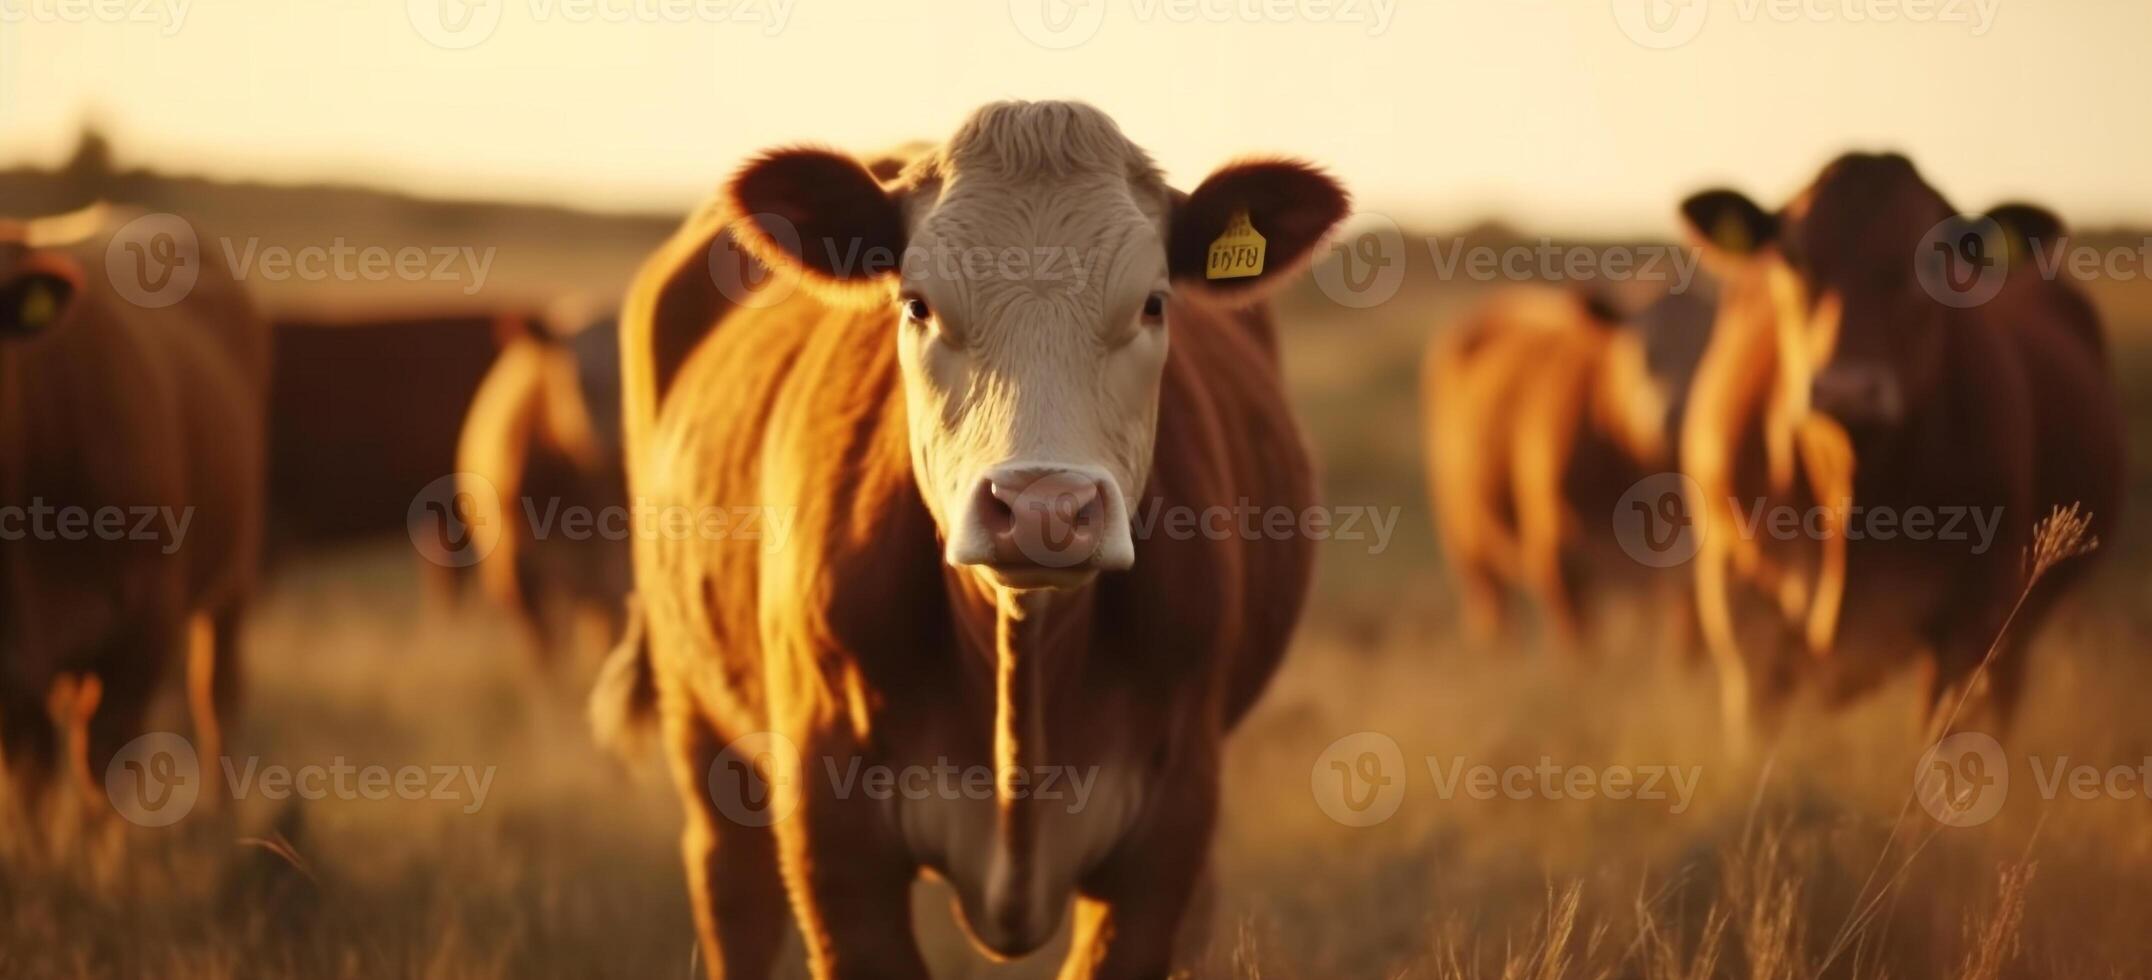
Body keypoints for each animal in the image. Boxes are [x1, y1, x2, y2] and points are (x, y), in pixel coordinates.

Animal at [593, 101, 1342, 980]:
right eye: (917, 304)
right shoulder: (833, 839)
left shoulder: (1168, 829)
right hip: (699, 723)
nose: (1044, 507)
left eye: (1154, 304)